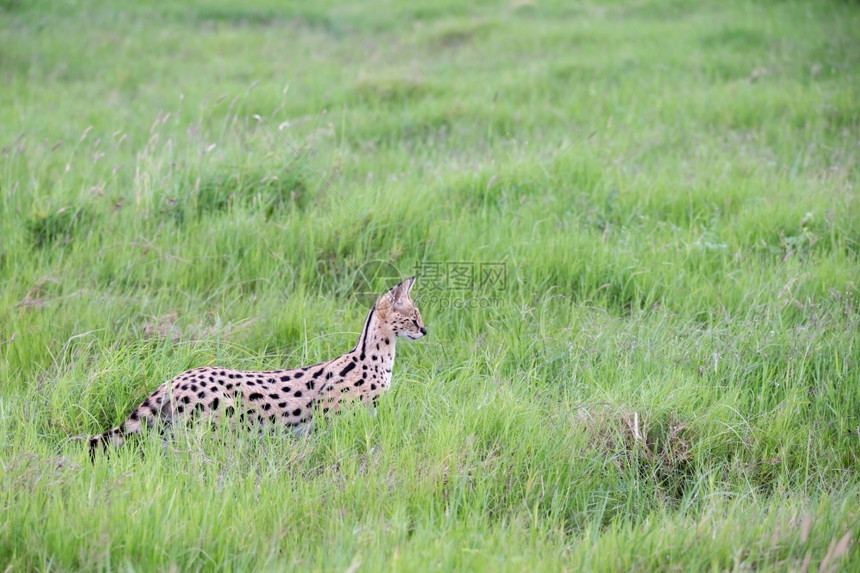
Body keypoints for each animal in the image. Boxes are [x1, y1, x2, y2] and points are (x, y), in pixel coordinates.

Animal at [90, 274, 426, 458]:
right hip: (212, 428)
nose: (425, 330)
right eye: (413, 317)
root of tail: (178, 378)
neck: (375, 359)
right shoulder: (334, 419)